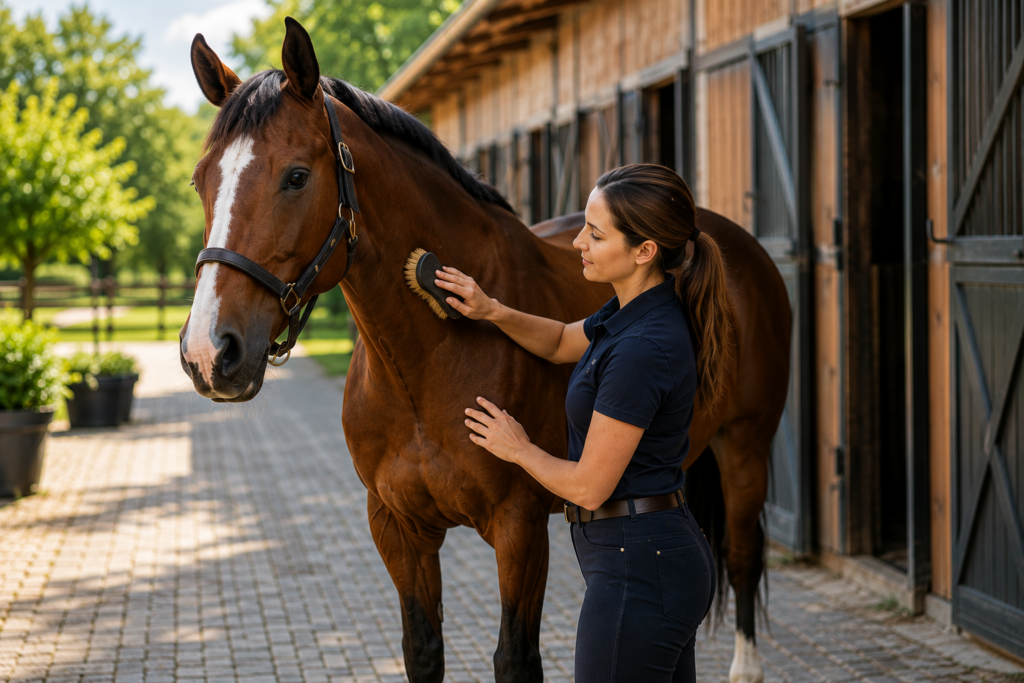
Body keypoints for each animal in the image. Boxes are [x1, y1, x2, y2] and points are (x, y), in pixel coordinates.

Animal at [180, 18, 790, 683]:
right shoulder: (397, 527)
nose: (209, 352)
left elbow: (515, 657)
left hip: (746, 445)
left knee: (740, 553)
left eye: (295, 176)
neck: (425, 364)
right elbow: (423, 648)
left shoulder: (520, 527)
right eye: (200, 180)